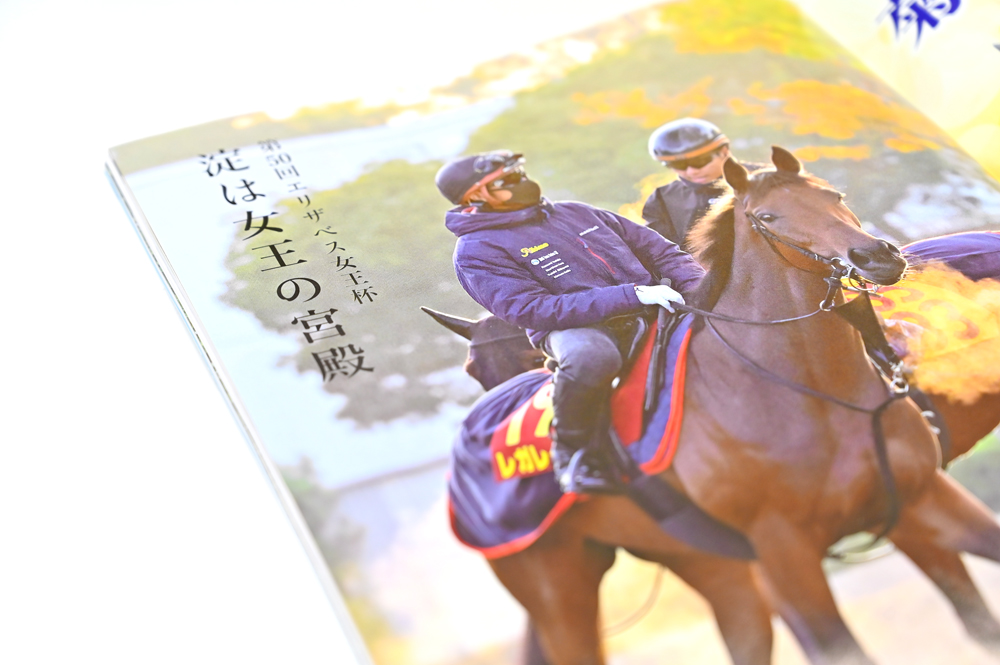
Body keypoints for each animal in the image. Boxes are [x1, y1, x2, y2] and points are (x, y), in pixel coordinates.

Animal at [427, 148, 1000, 665]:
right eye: (767, 217)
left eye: (832, 195)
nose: (877, 257)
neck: (812, 394)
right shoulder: (783, 556)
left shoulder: (919, 500)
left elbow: (978, 615)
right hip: (560, 593)